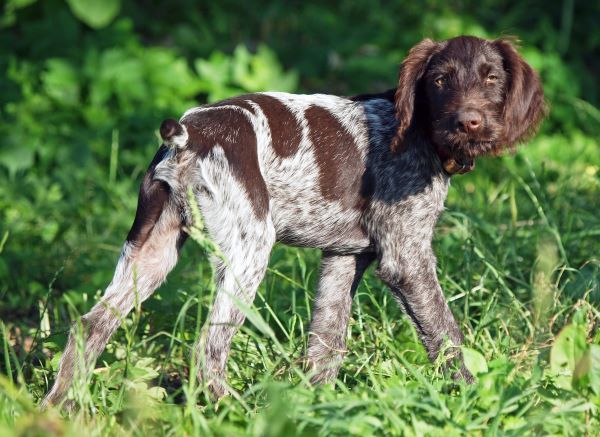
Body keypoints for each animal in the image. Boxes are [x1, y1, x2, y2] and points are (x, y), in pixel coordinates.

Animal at [42, 34, 548, 406]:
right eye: (441, 80)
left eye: (491, 78)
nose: (470, 122)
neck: (419, 132)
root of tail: (188, 135)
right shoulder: (406, 258)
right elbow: (445, 335)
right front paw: (474, 398)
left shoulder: (344, 257)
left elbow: (326, 343)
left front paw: (316, 408)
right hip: (249, 251)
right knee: (208, 351)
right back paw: (235, 411)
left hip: (152, 251)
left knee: (90, 326)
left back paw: (60, 407)